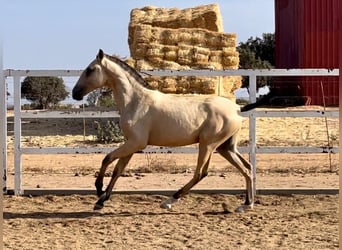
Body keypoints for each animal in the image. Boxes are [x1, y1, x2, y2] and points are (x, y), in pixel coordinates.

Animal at [72, 49, 264, 213]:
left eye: (90, 69)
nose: (75, 93)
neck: (135, 101)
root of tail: (237, 109)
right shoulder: (131, 144)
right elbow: (117, 170)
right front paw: (101, 201)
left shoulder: (136, 143)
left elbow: (107, 159)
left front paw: (99, 191)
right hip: (225, 147)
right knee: (247, 168)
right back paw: (246, 205)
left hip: (208, 145)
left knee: (201, 173)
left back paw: (168, 201)